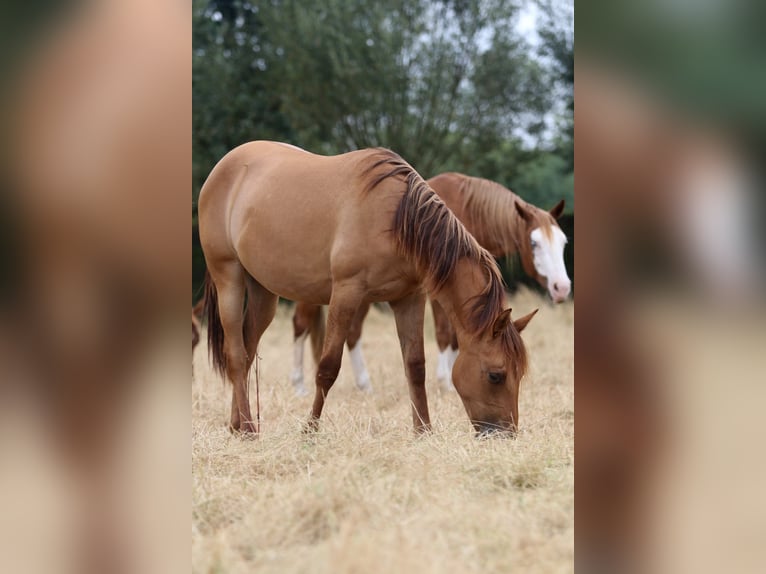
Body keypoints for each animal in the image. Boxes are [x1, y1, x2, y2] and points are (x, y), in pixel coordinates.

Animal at [198, 141, 536, 436]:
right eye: (496, 375)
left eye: (519, 373)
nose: (506, 434)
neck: (398, 220)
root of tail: (222, 167)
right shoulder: (347, 294)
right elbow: (328, 367)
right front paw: (309, 431)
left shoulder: (410, 298)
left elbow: (415, 366)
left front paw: (423, 432)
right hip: (229, 277)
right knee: (236, 354)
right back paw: (248, 429)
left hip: (263, 292)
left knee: (247, 350)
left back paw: (238, 425)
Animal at [291, 172, 570, 394]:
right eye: (534, 243)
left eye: (563, 242)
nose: (562, 287)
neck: (464, 213)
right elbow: (445, 334)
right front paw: (445, 381)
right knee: (301, 324)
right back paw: (299, 386)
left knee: (352, 332)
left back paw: (364, 385)